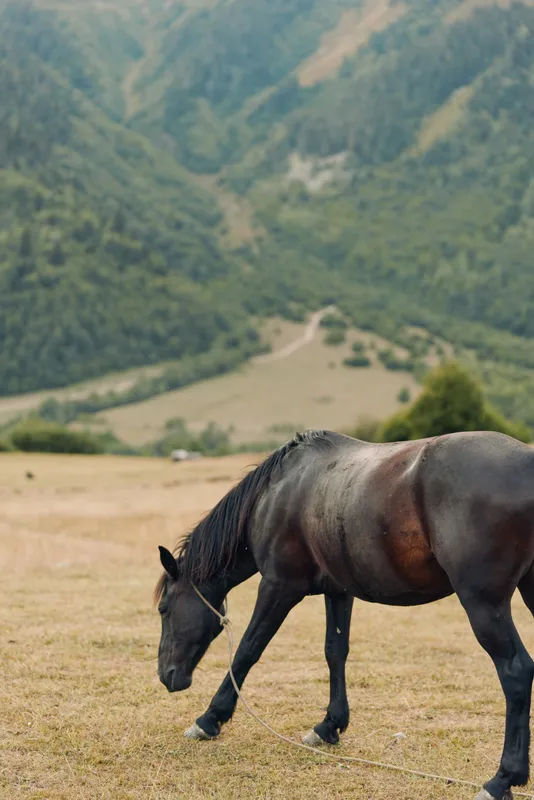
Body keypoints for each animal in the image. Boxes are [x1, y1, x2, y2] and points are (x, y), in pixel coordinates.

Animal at [155, 429, 534, 800]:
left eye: (163, 608)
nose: (165, 675)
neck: (278, 493)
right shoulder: (338, 591)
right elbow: (335, 652)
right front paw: (329, 726)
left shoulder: (279, 587)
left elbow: (248, 650)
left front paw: (210, 718)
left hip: (484, 604)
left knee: (516, 671)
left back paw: (502, 779)